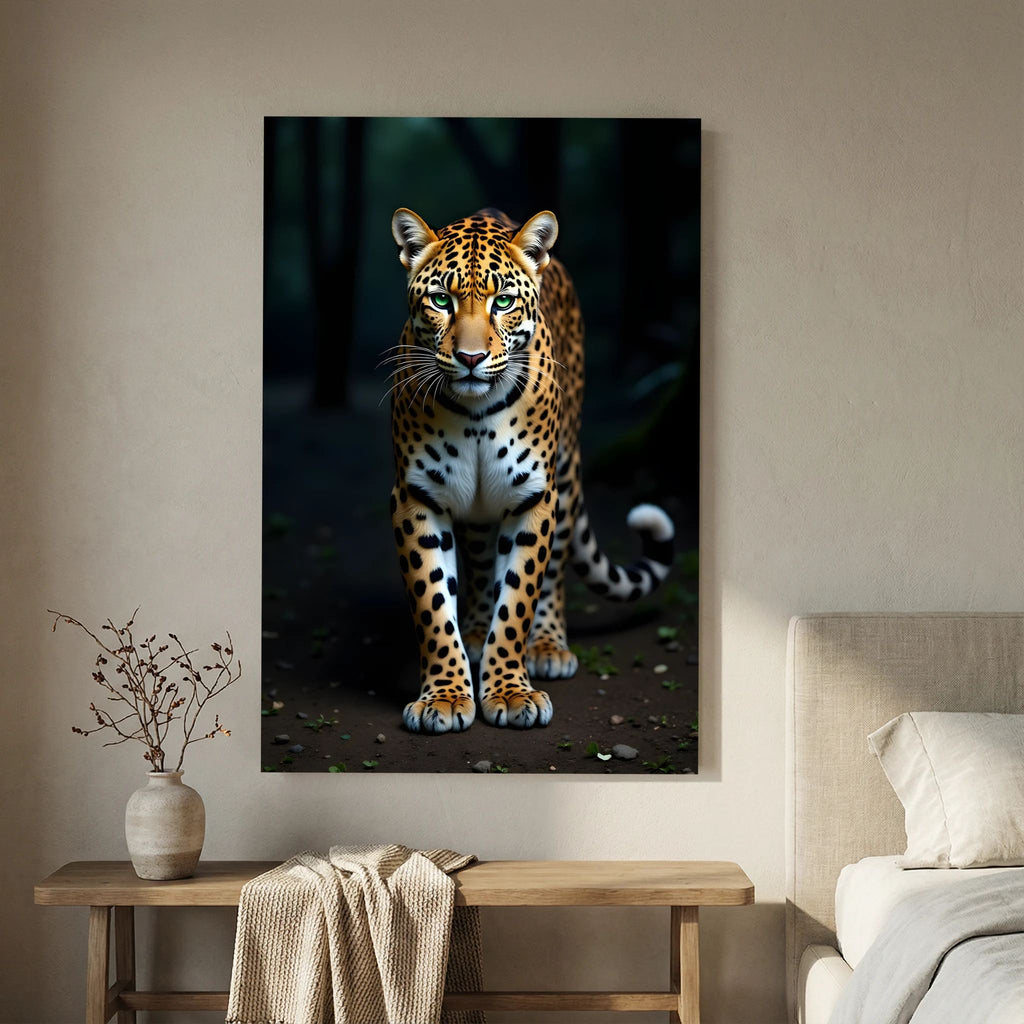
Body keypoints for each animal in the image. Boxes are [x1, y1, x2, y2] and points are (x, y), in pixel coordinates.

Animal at [386, 207, 675, 733]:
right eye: (441, 299)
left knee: (554, 569)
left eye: (503, 302)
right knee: (480, 564)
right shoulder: (417, 497)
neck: (475, 414)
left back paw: (546, 646)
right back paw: (475, 632)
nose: (471, 358)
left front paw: (510, 692)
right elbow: (433, 604)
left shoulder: (533, 498)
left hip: (565, 476)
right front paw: (445, 696)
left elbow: (519, 598)